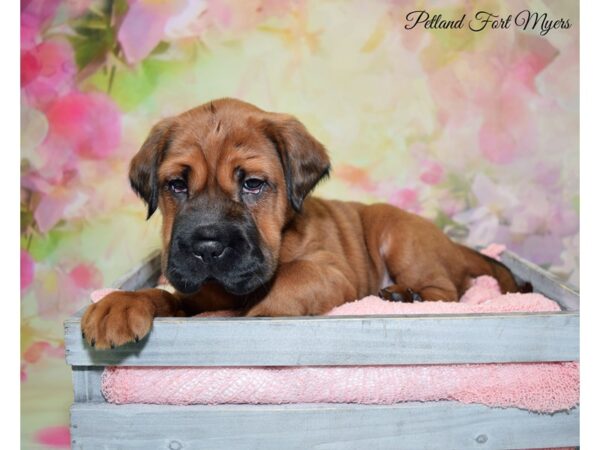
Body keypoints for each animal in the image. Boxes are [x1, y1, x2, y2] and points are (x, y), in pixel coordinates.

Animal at [81, 98, 520, 350]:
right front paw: (120, 303)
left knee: (446, 291)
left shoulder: (327, 271)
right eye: (176, 185)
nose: (207, 247)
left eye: (253, 184)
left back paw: (404, 296)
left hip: (399, 234)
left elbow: (285, 283)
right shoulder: (192, 296)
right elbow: (163, 296)